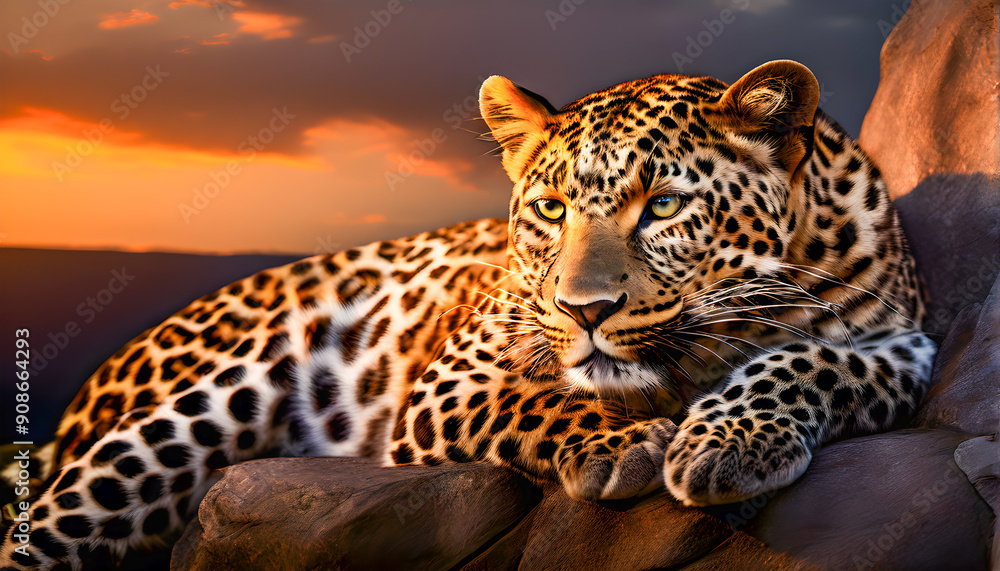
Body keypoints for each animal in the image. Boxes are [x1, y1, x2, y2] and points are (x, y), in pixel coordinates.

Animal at [1, 60, 935, 569]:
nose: (584, 309)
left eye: (665, 205)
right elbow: (536, 396)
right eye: (553, 209)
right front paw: (625, 443)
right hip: (206, 400)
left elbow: (807, 360)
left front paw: (727, 442)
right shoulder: (453, 376)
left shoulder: (900, 344)